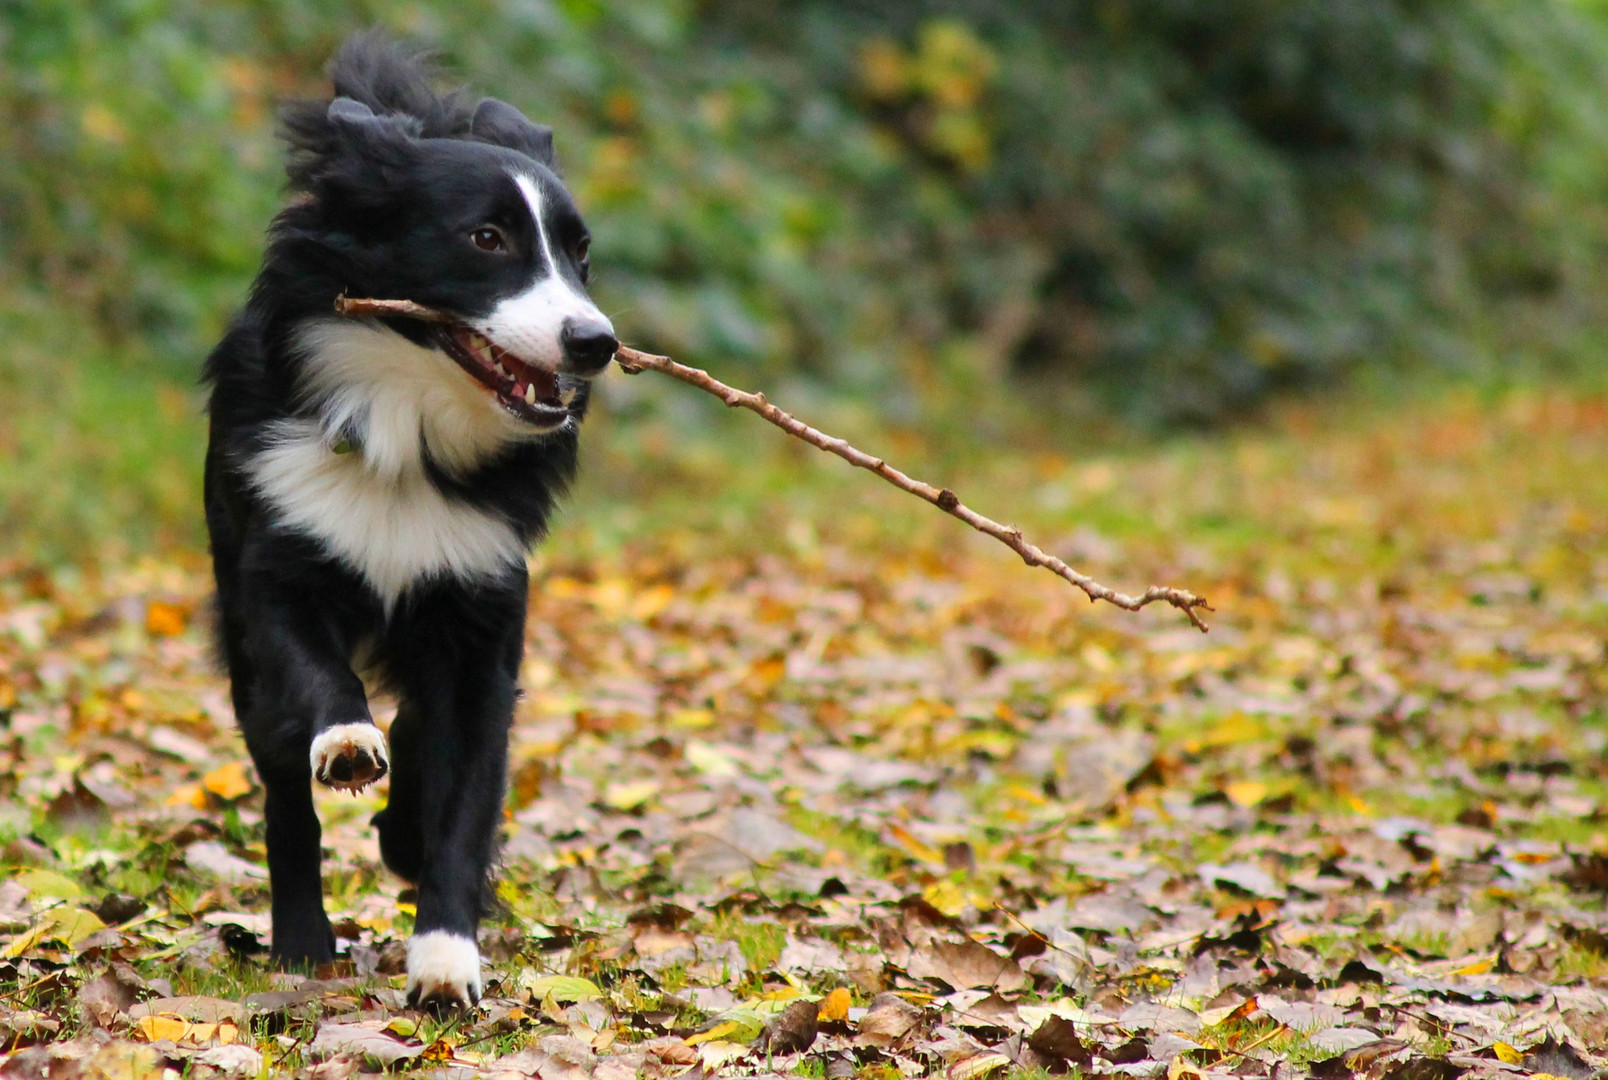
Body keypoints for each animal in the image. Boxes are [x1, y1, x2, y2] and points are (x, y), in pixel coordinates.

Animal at [194, 35, 607, 1015]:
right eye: (486, 238)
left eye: (581, 254)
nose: (597, 344)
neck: (409, 428)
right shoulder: (275, 563)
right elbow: (316, 672)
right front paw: (348, 743)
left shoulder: (481, 609)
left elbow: (464, 791)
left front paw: (447, 960)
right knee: (284, 794)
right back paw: (303, 941)